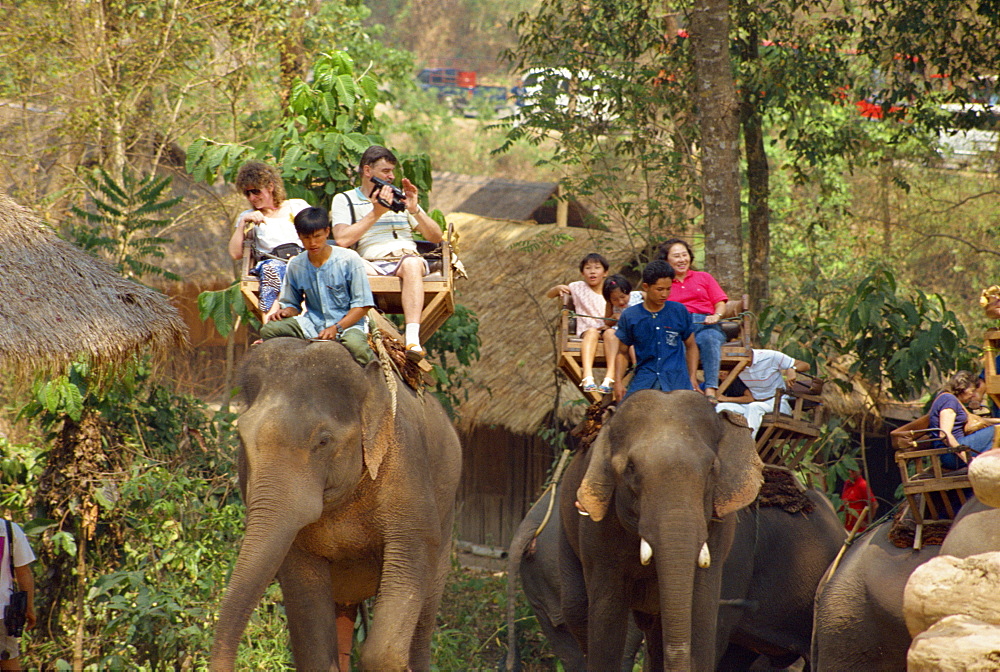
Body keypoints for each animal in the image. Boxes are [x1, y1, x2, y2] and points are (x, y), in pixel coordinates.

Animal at [211, 338, 464, 672]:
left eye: (323, 441)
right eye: (241, 436)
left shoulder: (406, 464)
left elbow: (412, 550)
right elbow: (312, 639)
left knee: (425, 617)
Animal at [560, 388, 760, 672]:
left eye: (712, 468)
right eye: (630, 468)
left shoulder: (717, 531)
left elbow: (702, 610)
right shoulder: (598, 533)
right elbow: (607, 614)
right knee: (577, 610)